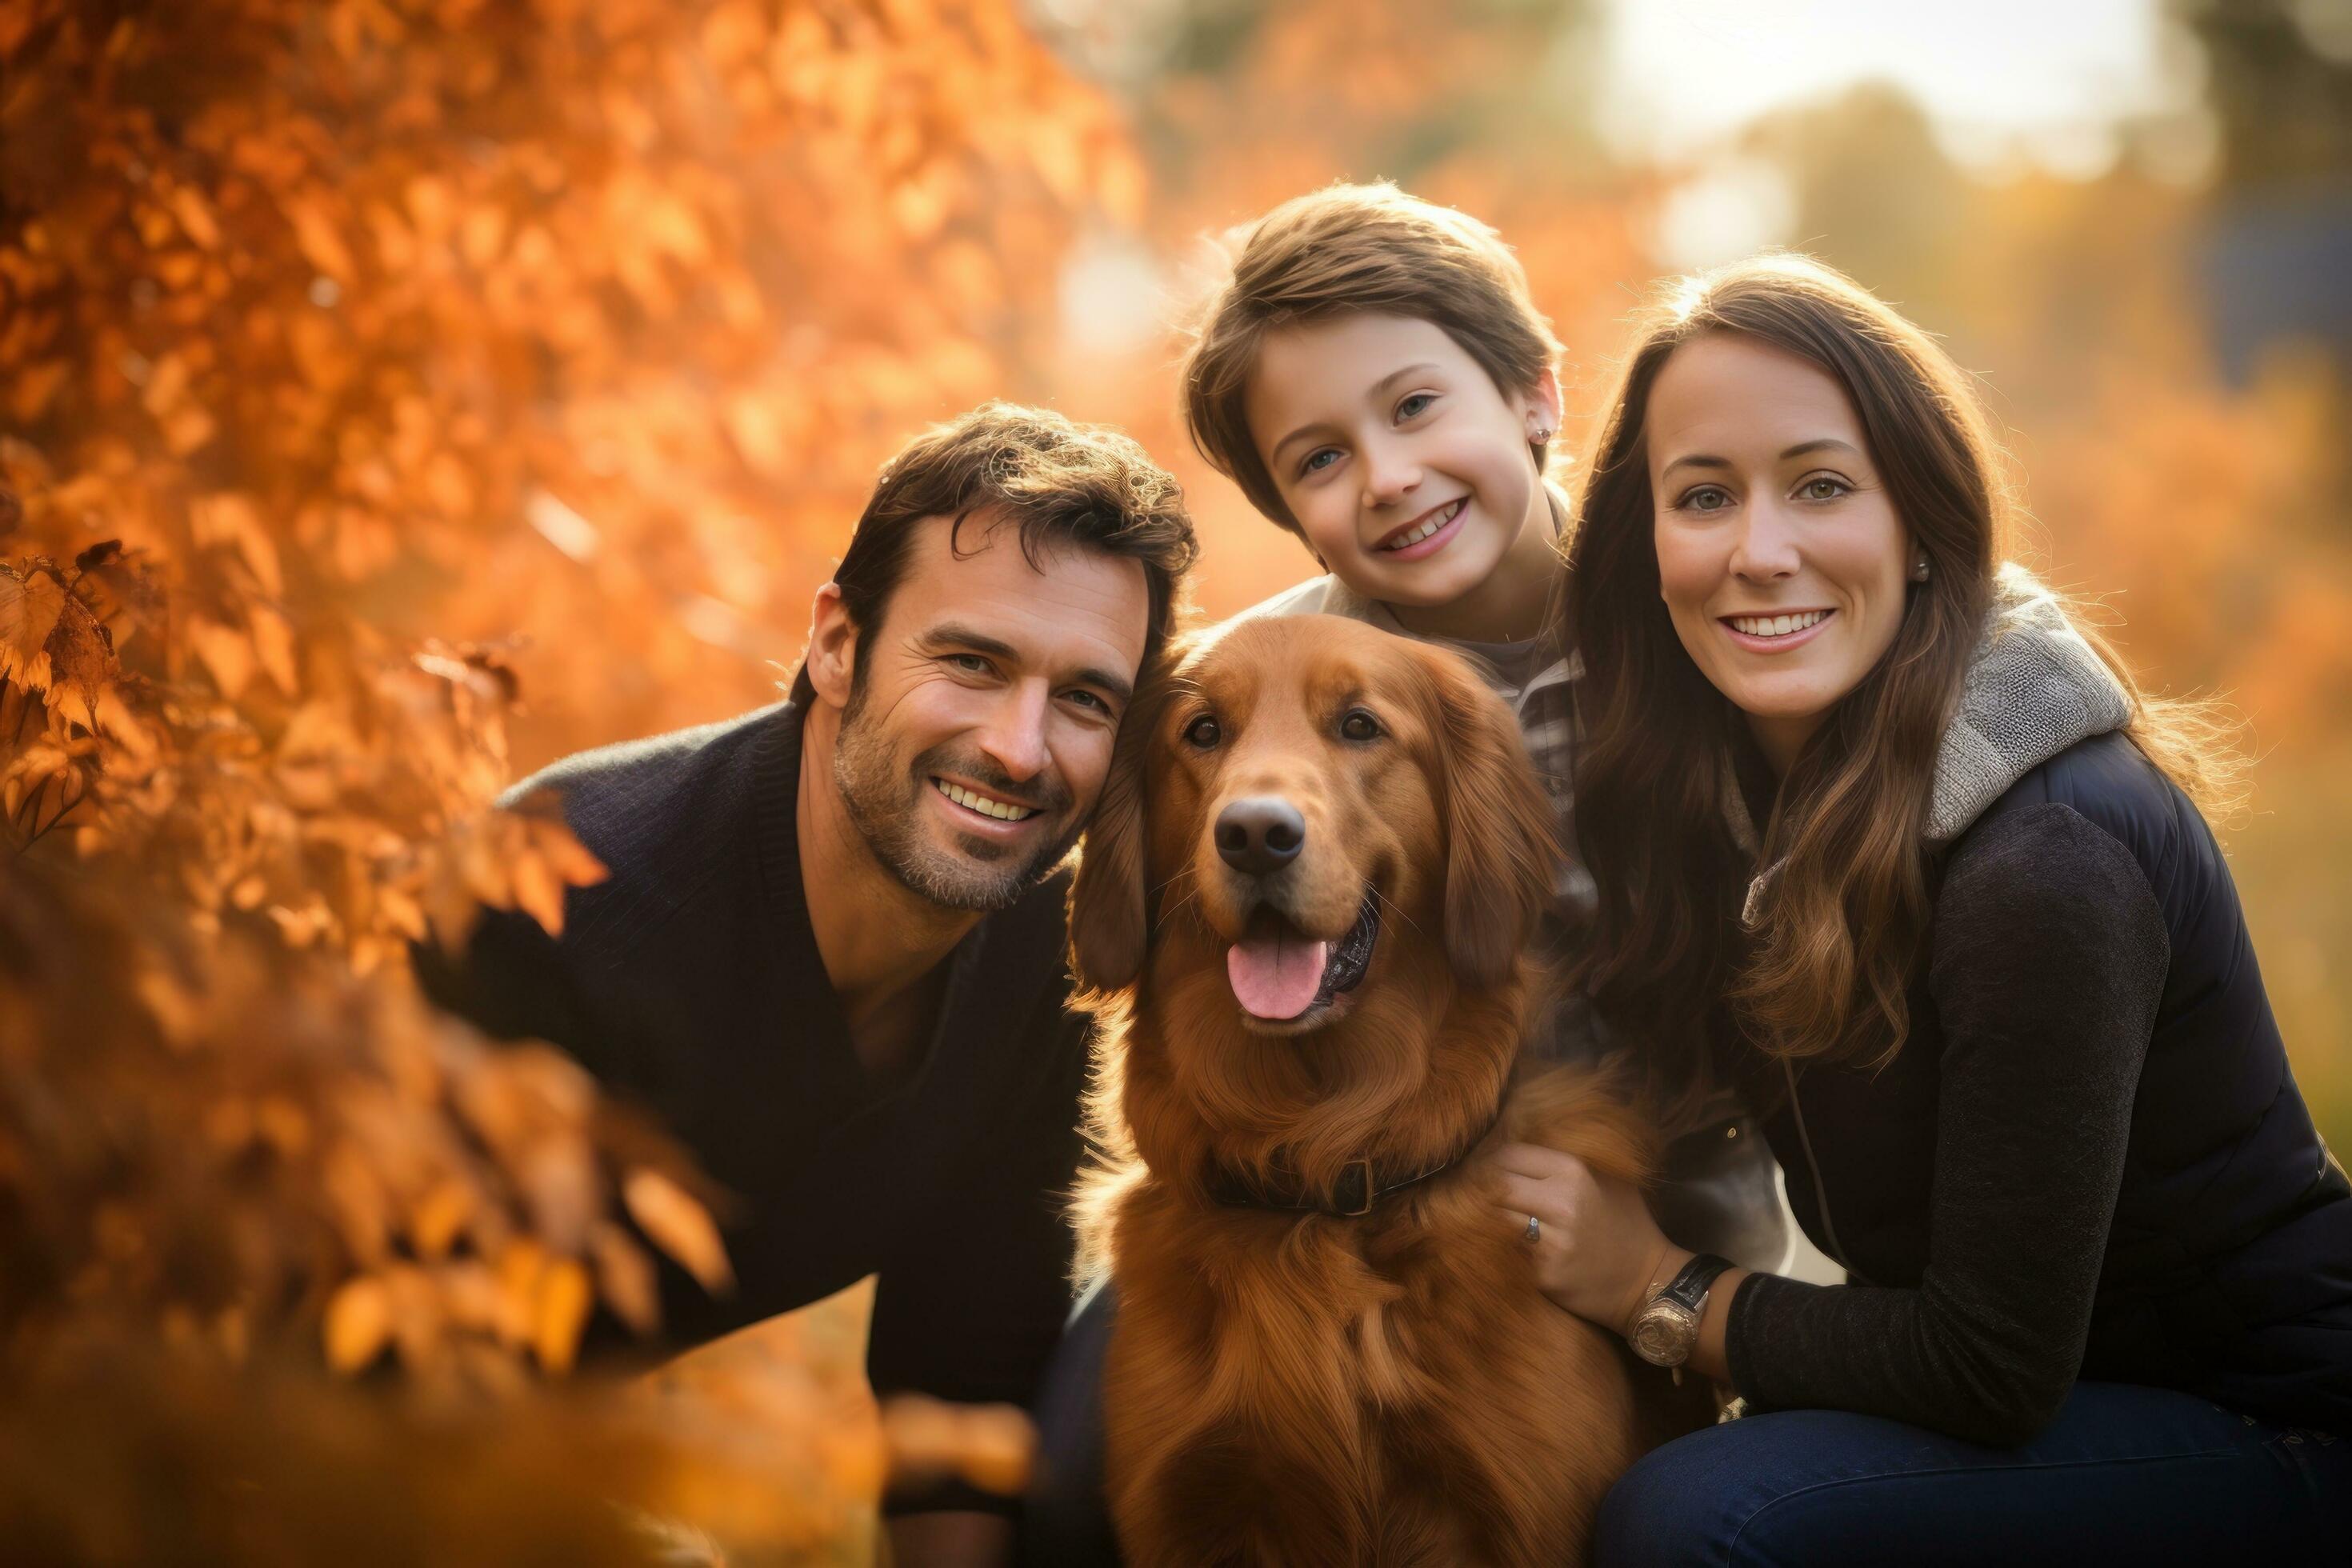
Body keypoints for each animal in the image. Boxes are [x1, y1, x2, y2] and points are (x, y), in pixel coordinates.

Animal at [1067, 620, 1674, 1561]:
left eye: (1360, 726)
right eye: (1202, 732)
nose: (1255, 835)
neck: (1321, 1165)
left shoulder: (1513, 1511)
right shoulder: (1195, 1505)